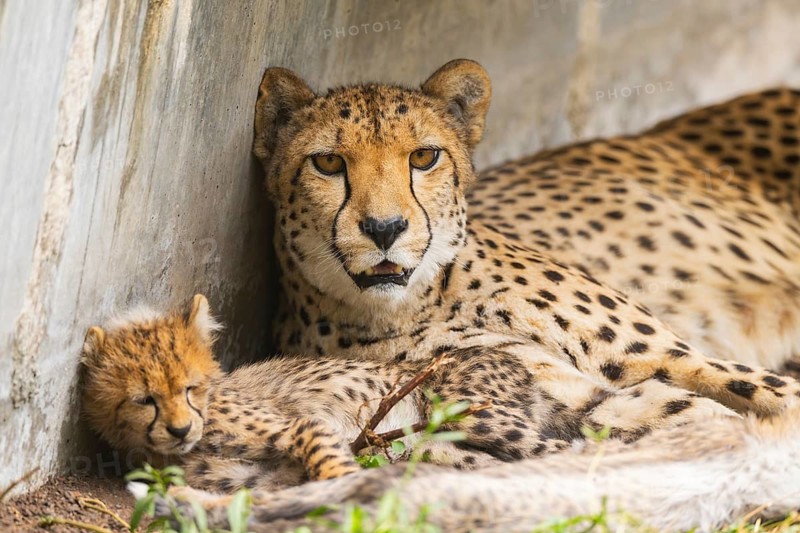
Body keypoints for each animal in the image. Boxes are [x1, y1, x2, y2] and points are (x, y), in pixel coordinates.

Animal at [254, 58, 800, 443]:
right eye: (328, 163)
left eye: (424, 156)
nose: (384, 228)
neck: (421, 302)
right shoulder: (581, 396)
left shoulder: (672, 358)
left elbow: (773, 392)